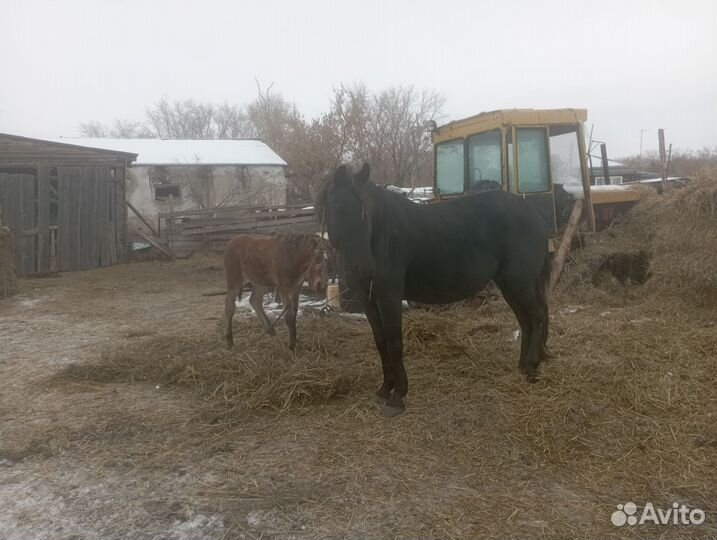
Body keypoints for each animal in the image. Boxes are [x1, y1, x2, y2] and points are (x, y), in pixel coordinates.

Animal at [316, 163, 551, 416]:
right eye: (338, 208)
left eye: (366, 212)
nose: (366, 268)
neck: (382, 237)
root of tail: (533, 213)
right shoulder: (366, 299)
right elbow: (380, 342)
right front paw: (384, 389)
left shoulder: (389, 296)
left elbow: (394, 342)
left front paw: (398, 396)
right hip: (510, 284)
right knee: (526, 321)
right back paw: (523, 366)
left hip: (519, 282)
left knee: (537, 316)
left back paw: (531, 365)